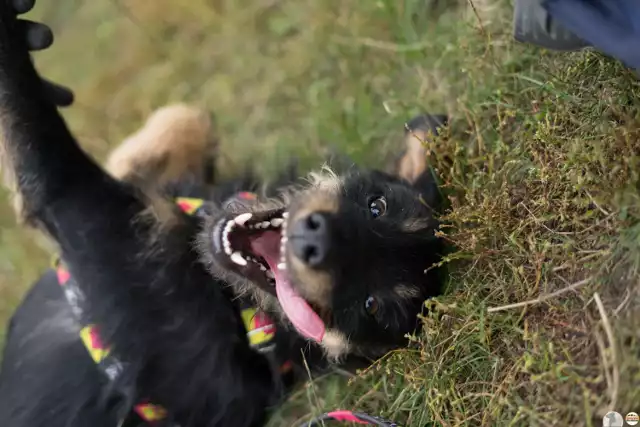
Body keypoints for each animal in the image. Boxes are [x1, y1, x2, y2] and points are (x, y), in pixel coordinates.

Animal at [0, 1, 448, 426]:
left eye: (372, 306)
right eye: (376, 205)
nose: (314, 239)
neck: (238, 309)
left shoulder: (83, 214)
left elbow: (30, 120)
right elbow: (189, 119)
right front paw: (134, 157)